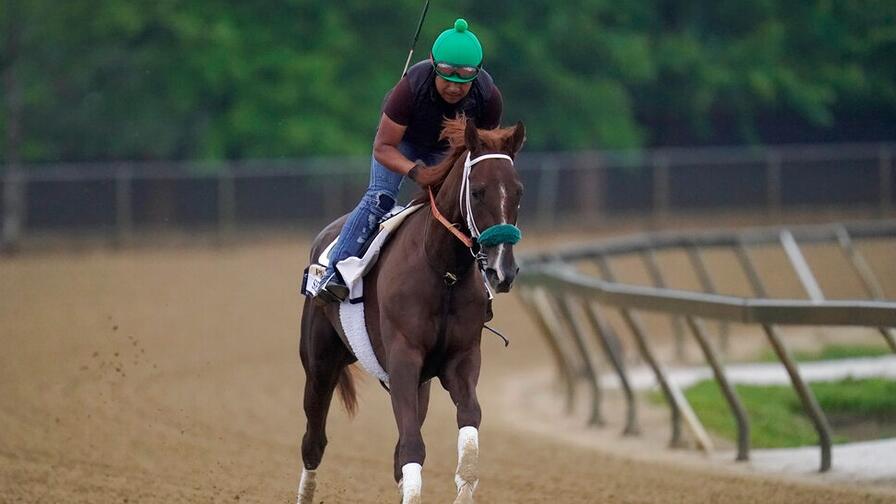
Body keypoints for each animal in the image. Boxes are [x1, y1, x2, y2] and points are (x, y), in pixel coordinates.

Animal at [298, 115, 528, 504]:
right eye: (478, 191)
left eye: (518, 191)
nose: (502, 271)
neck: (443, 271)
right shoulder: (404, 357)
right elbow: (411, 448)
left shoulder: (460, 358)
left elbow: (469, 421)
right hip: (320, 365)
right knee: (314, 442)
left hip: (418, 384)